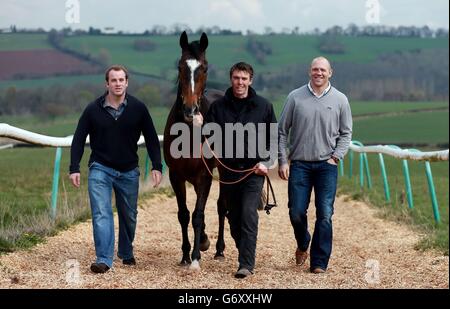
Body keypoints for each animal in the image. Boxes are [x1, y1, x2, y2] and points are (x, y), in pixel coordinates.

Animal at [163, 30, 227, 268]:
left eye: (205, 67)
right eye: (180, 66)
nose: (190, 110)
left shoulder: (204, 176)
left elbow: (198, 214)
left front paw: (196, 257)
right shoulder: (176, 176)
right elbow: (184, 214)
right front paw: (185, 255)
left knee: (221, 206)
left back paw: (218, 249)